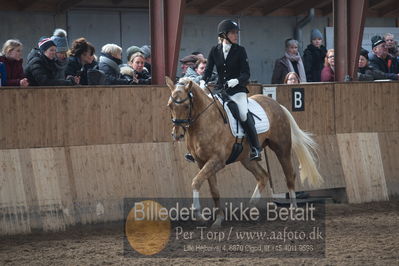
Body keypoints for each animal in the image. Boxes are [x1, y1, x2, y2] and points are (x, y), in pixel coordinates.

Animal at [166, 76, 324, 227]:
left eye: (186, 106)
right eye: (170, 105)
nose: (177, 135)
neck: (205, 121)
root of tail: (277, 104)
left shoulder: (217, 161)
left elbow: (196, 181)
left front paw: (198, 214)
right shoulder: (202, 162)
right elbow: (214, 190)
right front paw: (218, 219)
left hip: (281, 148)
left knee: (289, 175)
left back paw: (293, 210)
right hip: (247, 158)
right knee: (263, 176)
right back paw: (249, 209)